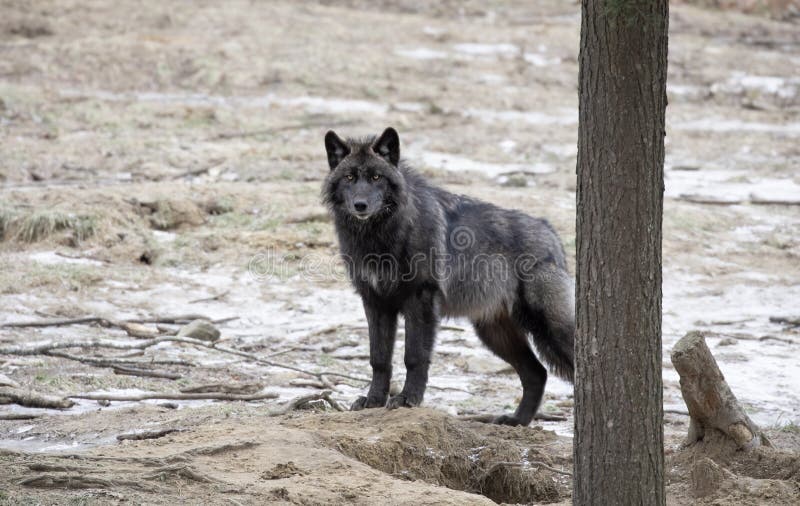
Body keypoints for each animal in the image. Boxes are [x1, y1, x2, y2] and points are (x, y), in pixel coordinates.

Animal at [322, 127, 574, 426]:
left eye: (376, 177)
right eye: (350, 177)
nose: (360, 205)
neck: (379, 236)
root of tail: (550, 231)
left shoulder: (420, 300)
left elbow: (414, 357)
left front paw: (408, 399)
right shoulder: (375, 303)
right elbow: (379, 359)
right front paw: (373, 401)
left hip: (547, 327)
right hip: (494, 334)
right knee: (537, 373)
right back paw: (516, 422)